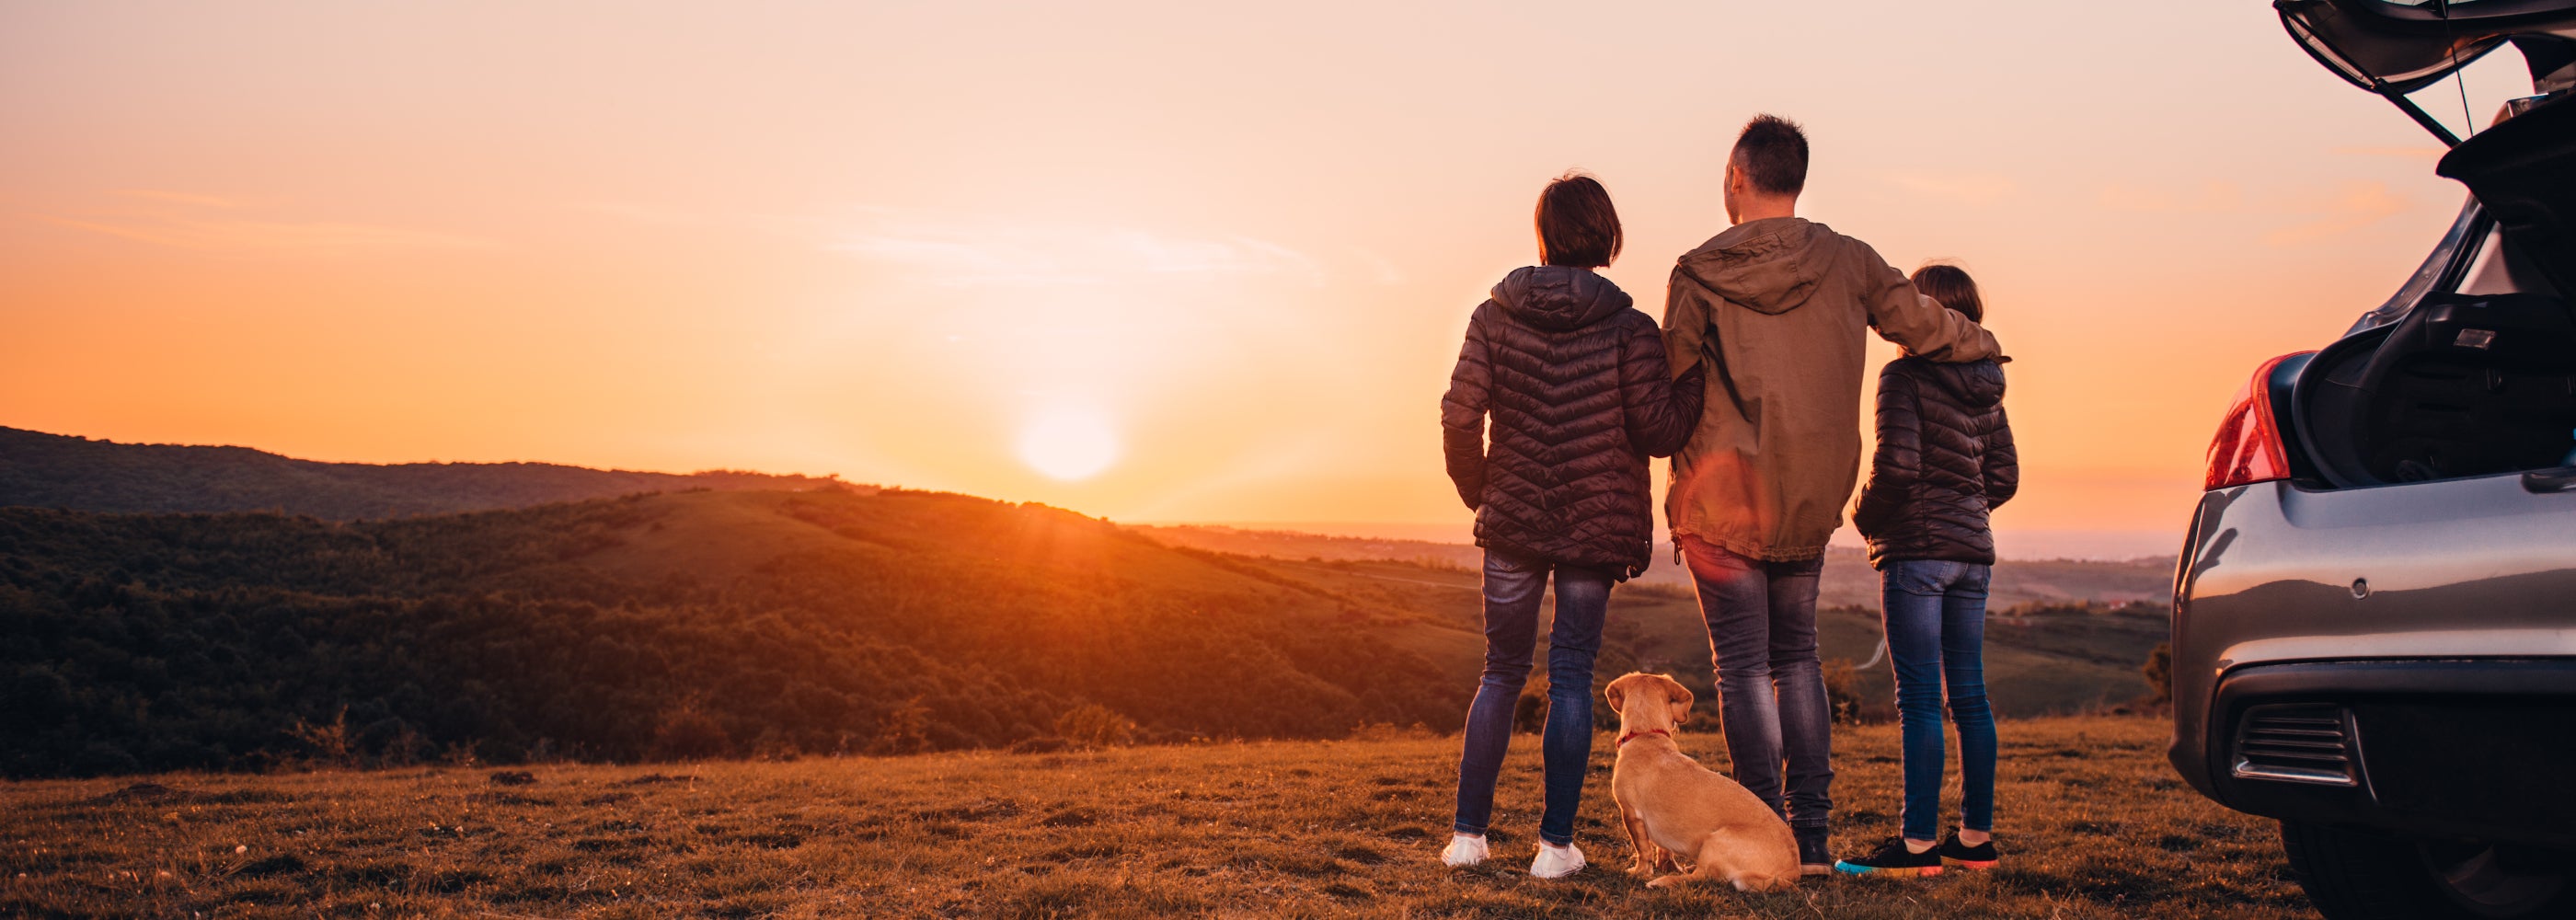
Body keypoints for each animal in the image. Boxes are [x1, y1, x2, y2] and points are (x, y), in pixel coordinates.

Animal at [1597, 670, 1803, 891]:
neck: (1647, 735)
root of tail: (1793, 871)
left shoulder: (1630, 814)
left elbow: (1643, 851)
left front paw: (1639, 872)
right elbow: (1663, 849)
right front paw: (1666, 865)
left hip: (1715, 841)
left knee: (1700, 877)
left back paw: (1662, 881)